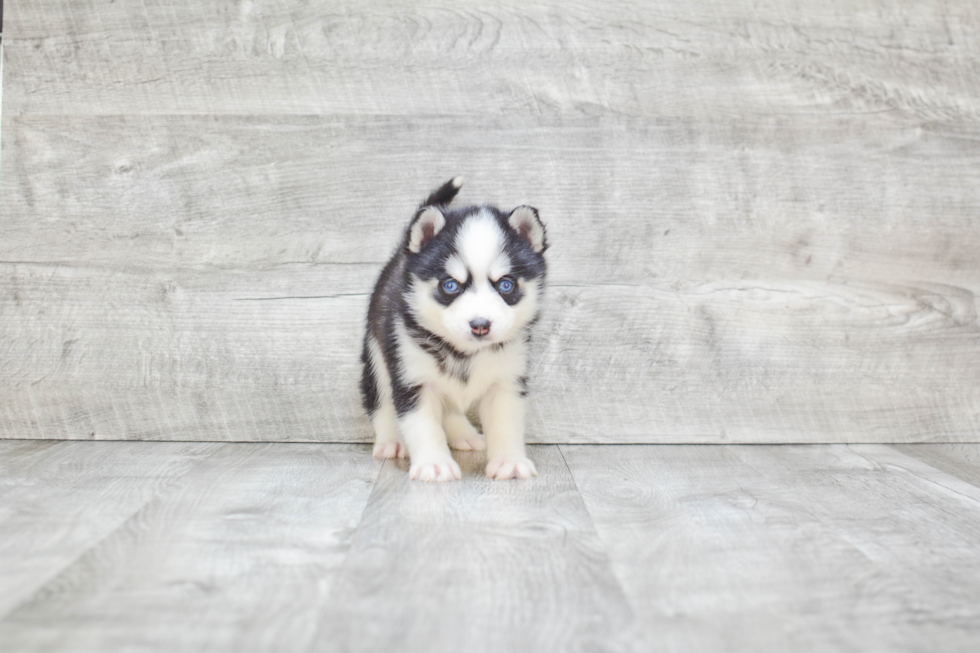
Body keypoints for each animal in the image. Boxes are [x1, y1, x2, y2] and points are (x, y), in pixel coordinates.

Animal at [360, 177, 548, 478]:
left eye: (506, 284)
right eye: (450, 285)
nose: (480, 325)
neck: (464, 353)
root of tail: (402, 253)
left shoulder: (506, 380)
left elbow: (506, 423)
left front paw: (509, 461)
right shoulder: (413, 379)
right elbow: (424, 426)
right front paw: (434, 464)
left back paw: (464, 434)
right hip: (377, 354)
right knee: (379, 399)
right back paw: (390, 440)